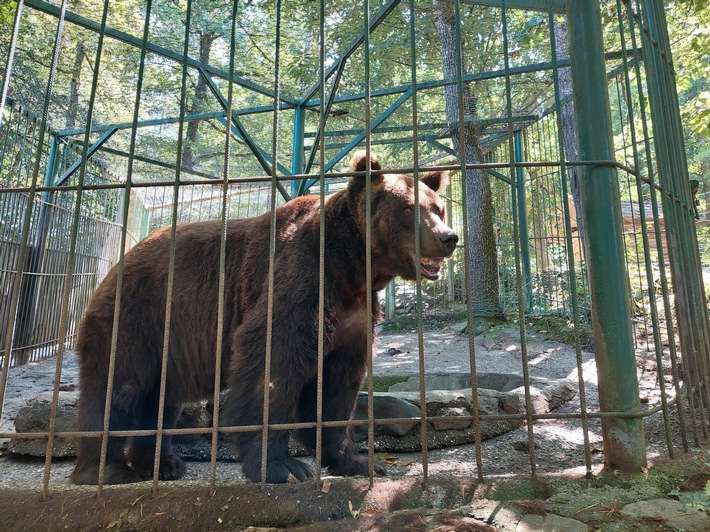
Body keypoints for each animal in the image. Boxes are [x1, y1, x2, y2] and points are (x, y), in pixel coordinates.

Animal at [71, 152, 456, 484]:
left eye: (438, 208)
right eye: (409, 208)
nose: (448, 237)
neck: (352, 267)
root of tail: (115, 266)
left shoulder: (354, 316)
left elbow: (338, 386)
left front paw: (358, 461)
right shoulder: (298, 280)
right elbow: (271, 364)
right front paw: (282, 466)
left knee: (160, 400)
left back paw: (163, 464)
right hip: (136, 318)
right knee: (117, 389)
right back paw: (107, 469)